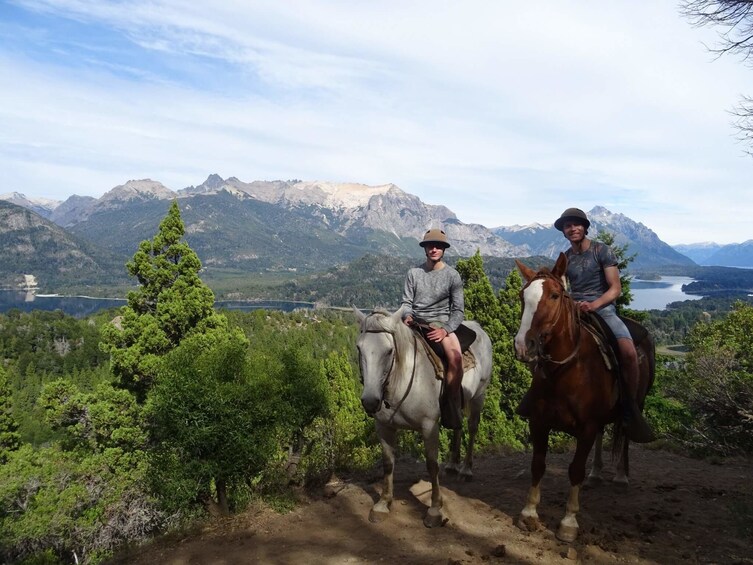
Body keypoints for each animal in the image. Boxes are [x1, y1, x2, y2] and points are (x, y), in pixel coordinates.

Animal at [354, 306, 494, 528]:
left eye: (389, 350)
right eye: (360, 348)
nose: (370, 401)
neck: (402, 380)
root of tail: (477, 327)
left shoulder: (429, 426)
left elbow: (431, 465)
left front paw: (435, 509)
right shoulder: (383, 426)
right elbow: (388, 463)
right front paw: (383, 503)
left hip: (479, 396)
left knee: (472, 428)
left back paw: (465, 470)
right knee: (458, 426)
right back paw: (452, 465)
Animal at [512, 254, 652, 540]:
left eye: (554, 296)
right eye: (523, 296)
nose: (523, 346)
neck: (567, 368)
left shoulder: (586, 427)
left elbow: (575, 469)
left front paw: (568, 522)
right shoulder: (539, 422)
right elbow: (537, 464)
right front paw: (529, 513)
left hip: (636, 403)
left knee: (624, 434)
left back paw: (621, 476)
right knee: (603, 435)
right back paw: (596, 473)